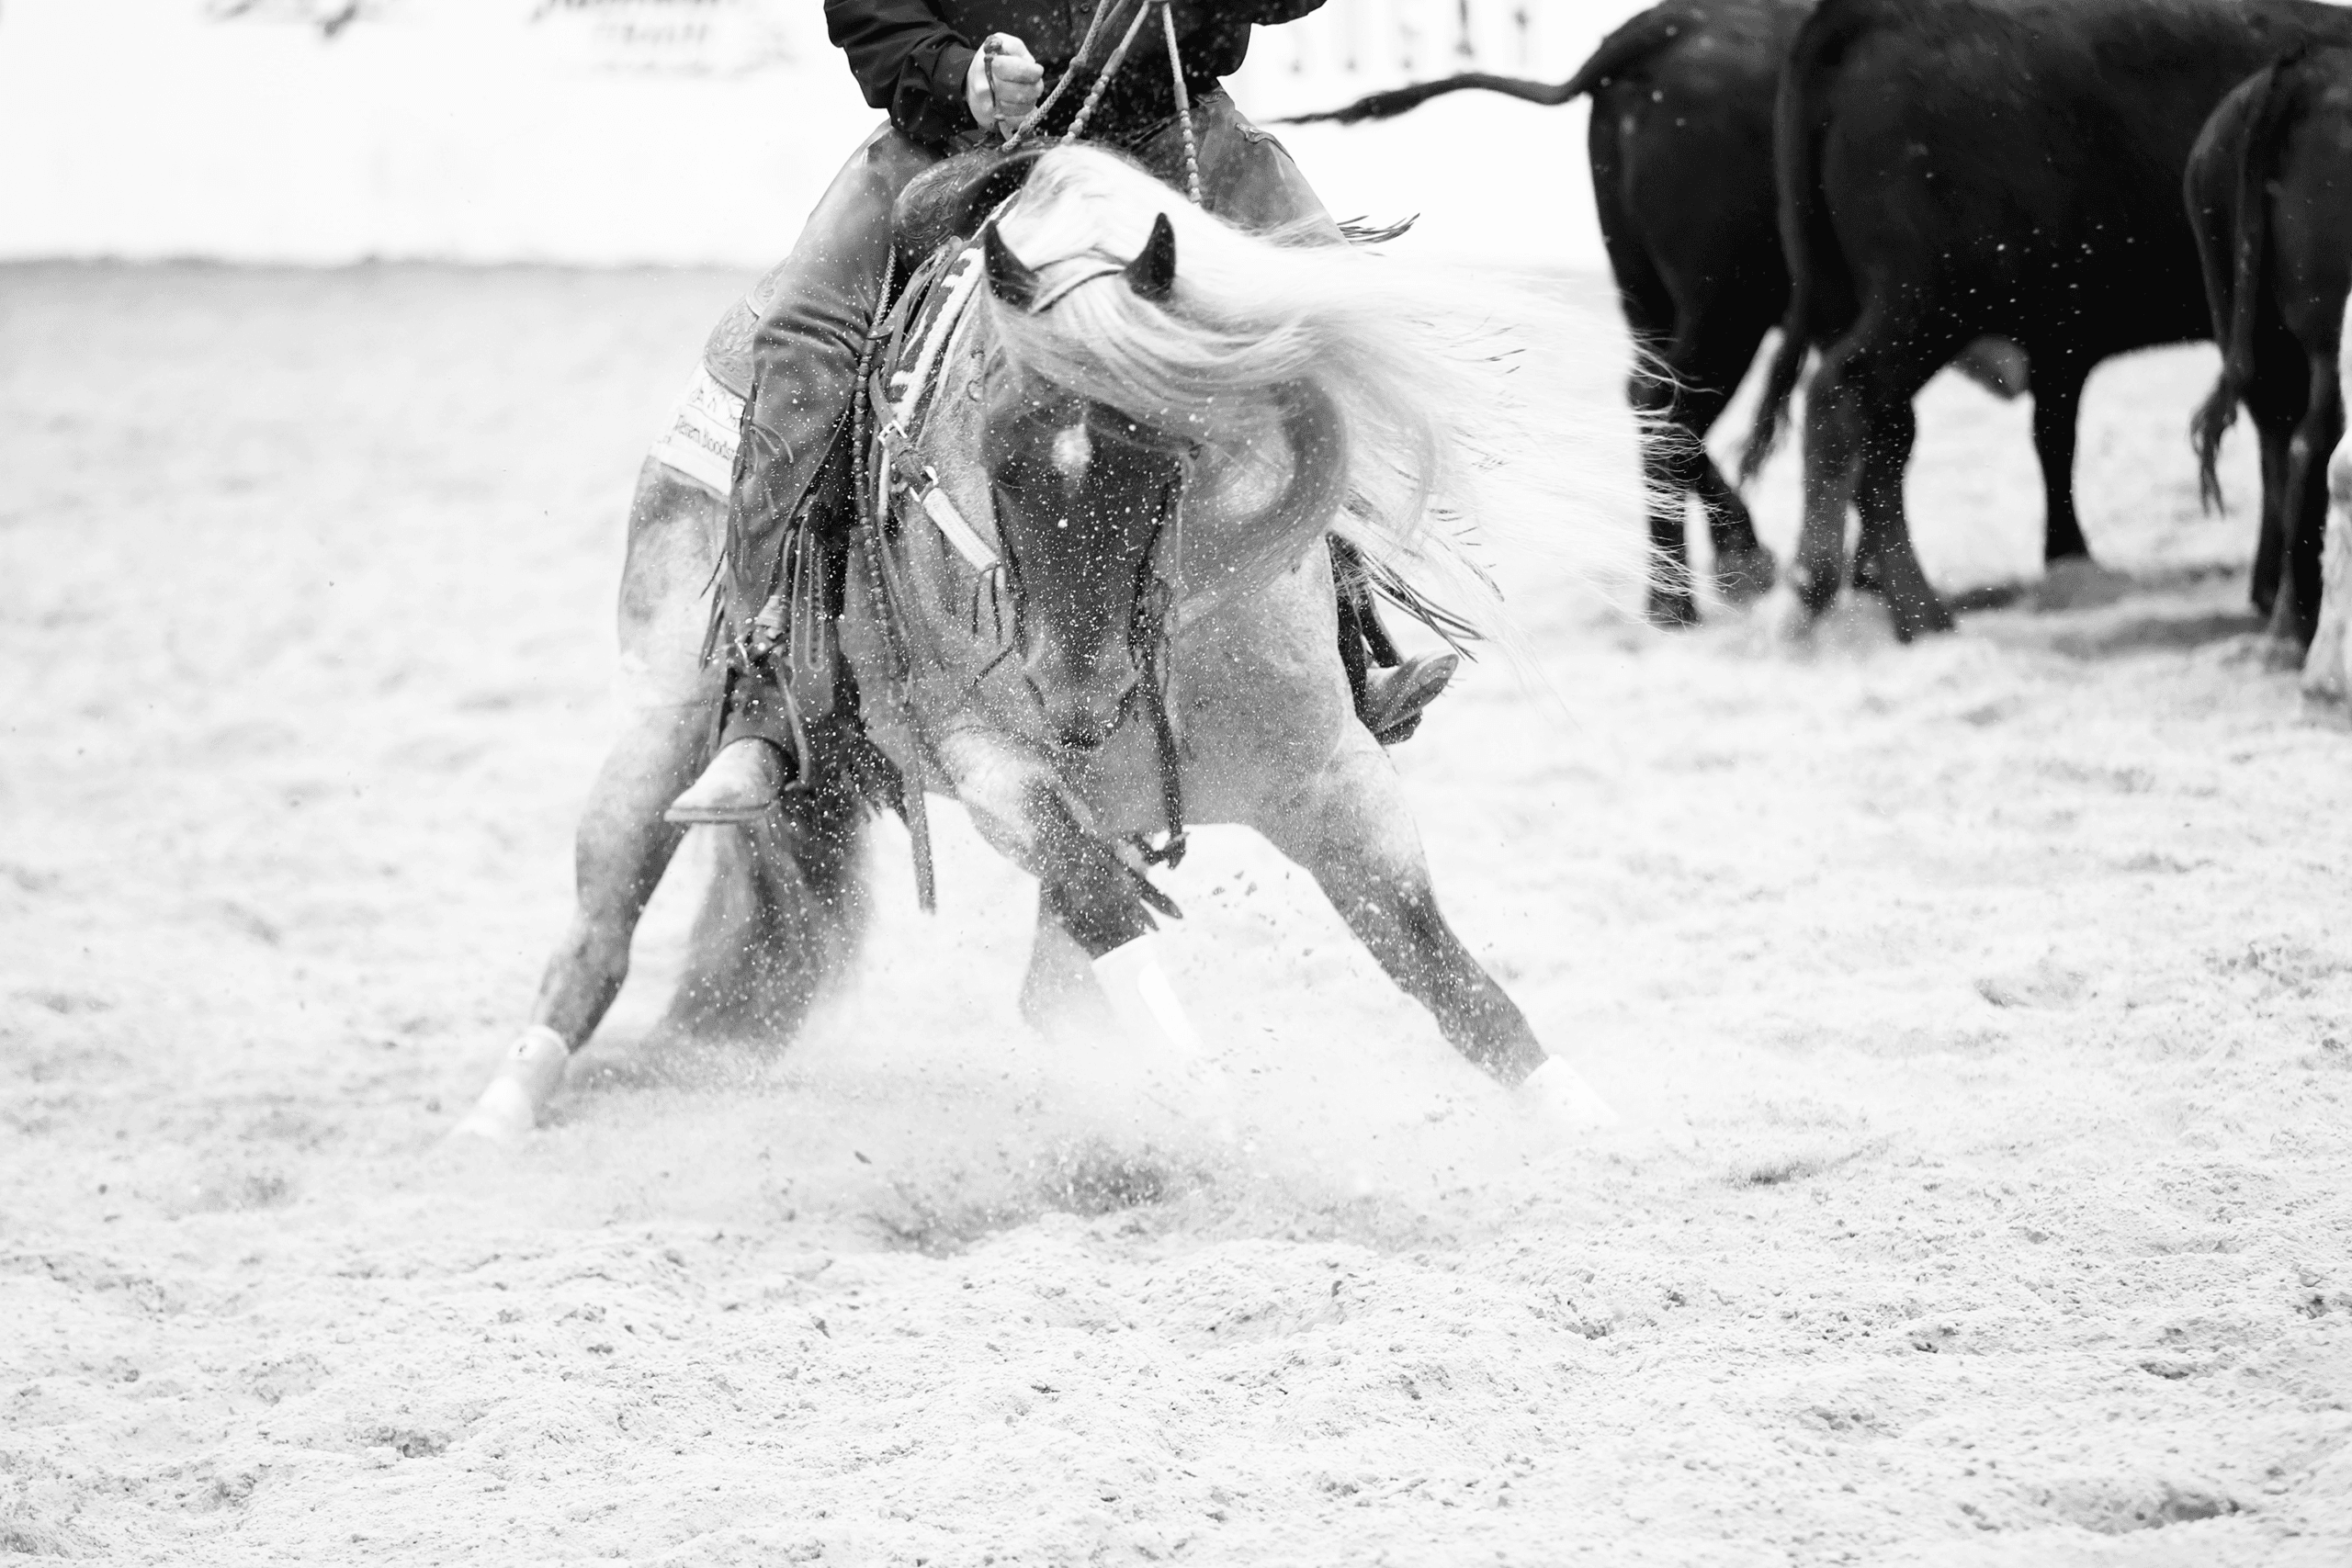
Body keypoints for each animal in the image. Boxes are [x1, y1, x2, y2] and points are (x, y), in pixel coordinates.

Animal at [456, 142, 1629, 1143]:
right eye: (997, 448)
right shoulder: (995, 776)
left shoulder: (1333, 772)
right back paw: (498, 1114)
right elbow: (1110, 912)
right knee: (597, 932)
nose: (1074, 691)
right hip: (662, 718)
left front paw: (1590, 1133)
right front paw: (1208, 1113)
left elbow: (1440, 967)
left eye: (1162, 444)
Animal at [1290, 0, 2047, 627]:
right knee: (1680, 403)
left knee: (1656, 399)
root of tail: (1657, 28)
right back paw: (1706, 589)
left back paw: (1695, 584)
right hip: (1730, 301)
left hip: (1653, 296)